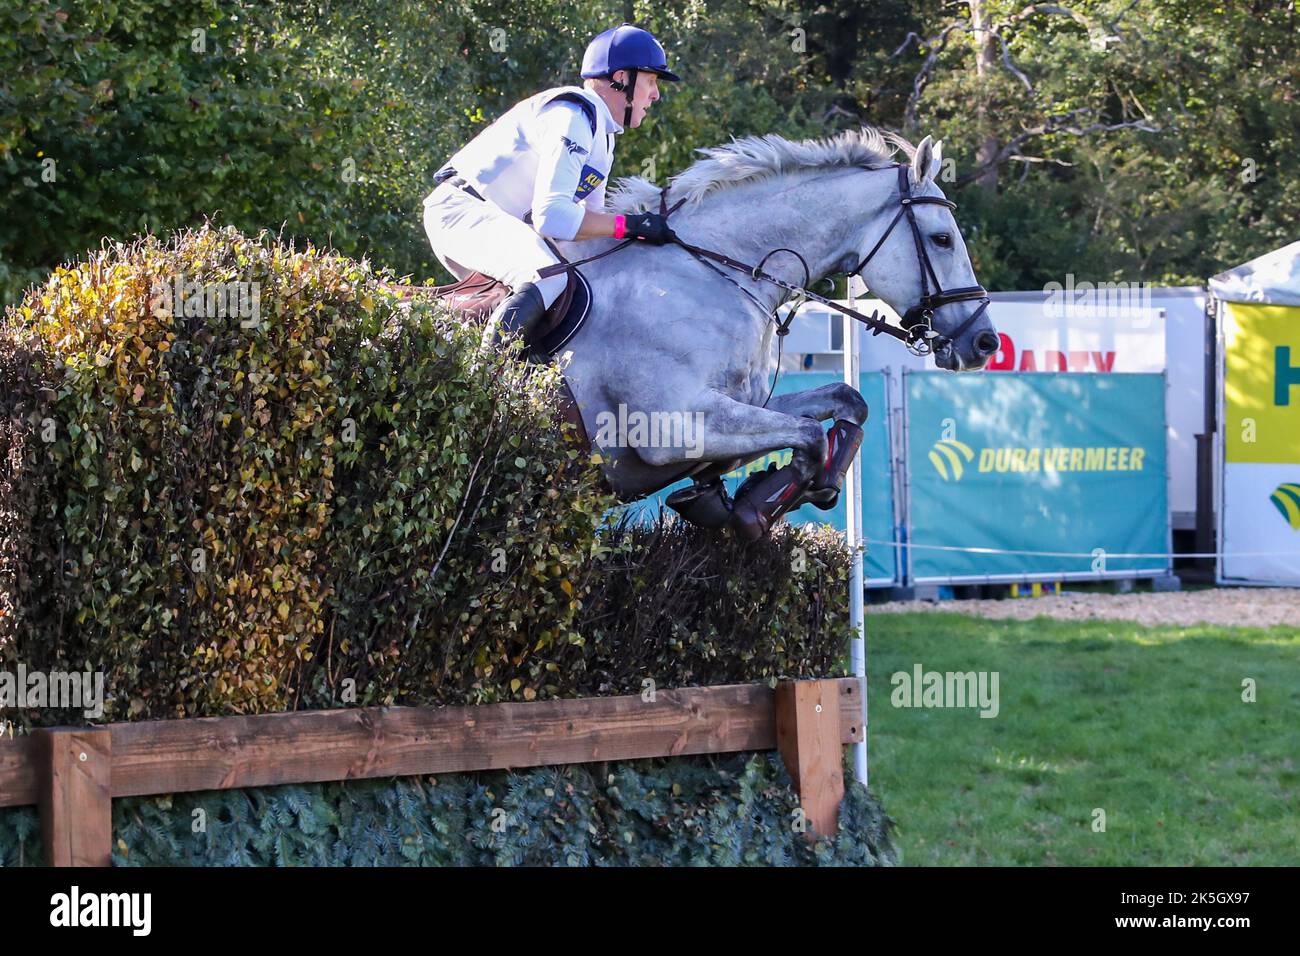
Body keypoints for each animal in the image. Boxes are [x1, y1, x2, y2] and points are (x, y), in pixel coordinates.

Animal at [501, 128, 998, 538]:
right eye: (942, 239)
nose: (985, 341)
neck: (709, 271)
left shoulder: (745, 404)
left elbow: (847, 401)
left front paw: (799, 486)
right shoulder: (674, 425)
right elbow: (809, 435)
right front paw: (756, 507)